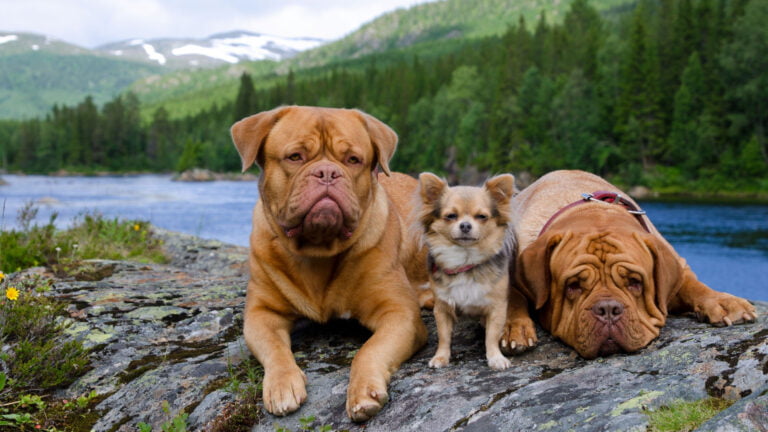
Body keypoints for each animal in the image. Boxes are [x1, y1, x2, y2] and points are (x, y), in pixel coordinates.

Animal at [231, 105, 428, 422]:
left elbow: (369, 350)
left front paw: (363, 392)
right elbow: (274, 349)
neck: (318, 250)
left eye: (353, 159)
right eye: (295, 156)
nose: (327, 172)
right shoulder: (262, 314)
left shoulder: (400, 313)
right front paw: (282, 384)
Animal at [416, 174, 524, 370]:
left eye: (481, 217)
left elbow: (492, 336)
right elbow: (444, 336)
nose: (465, 225)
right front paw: (441, 357)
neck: (465, 261)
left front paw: (495, 358)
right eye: (451, 216)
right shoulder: (442, 308)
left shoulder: (496, 307)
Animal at [508, 170, 760, 360]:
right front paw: (513, 327)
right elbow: (512, 295)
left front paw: (723, 302)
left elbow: (691, 285)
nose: (607, 309)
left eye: (635, 282)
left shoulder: (676, 265)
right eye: (573, 285)